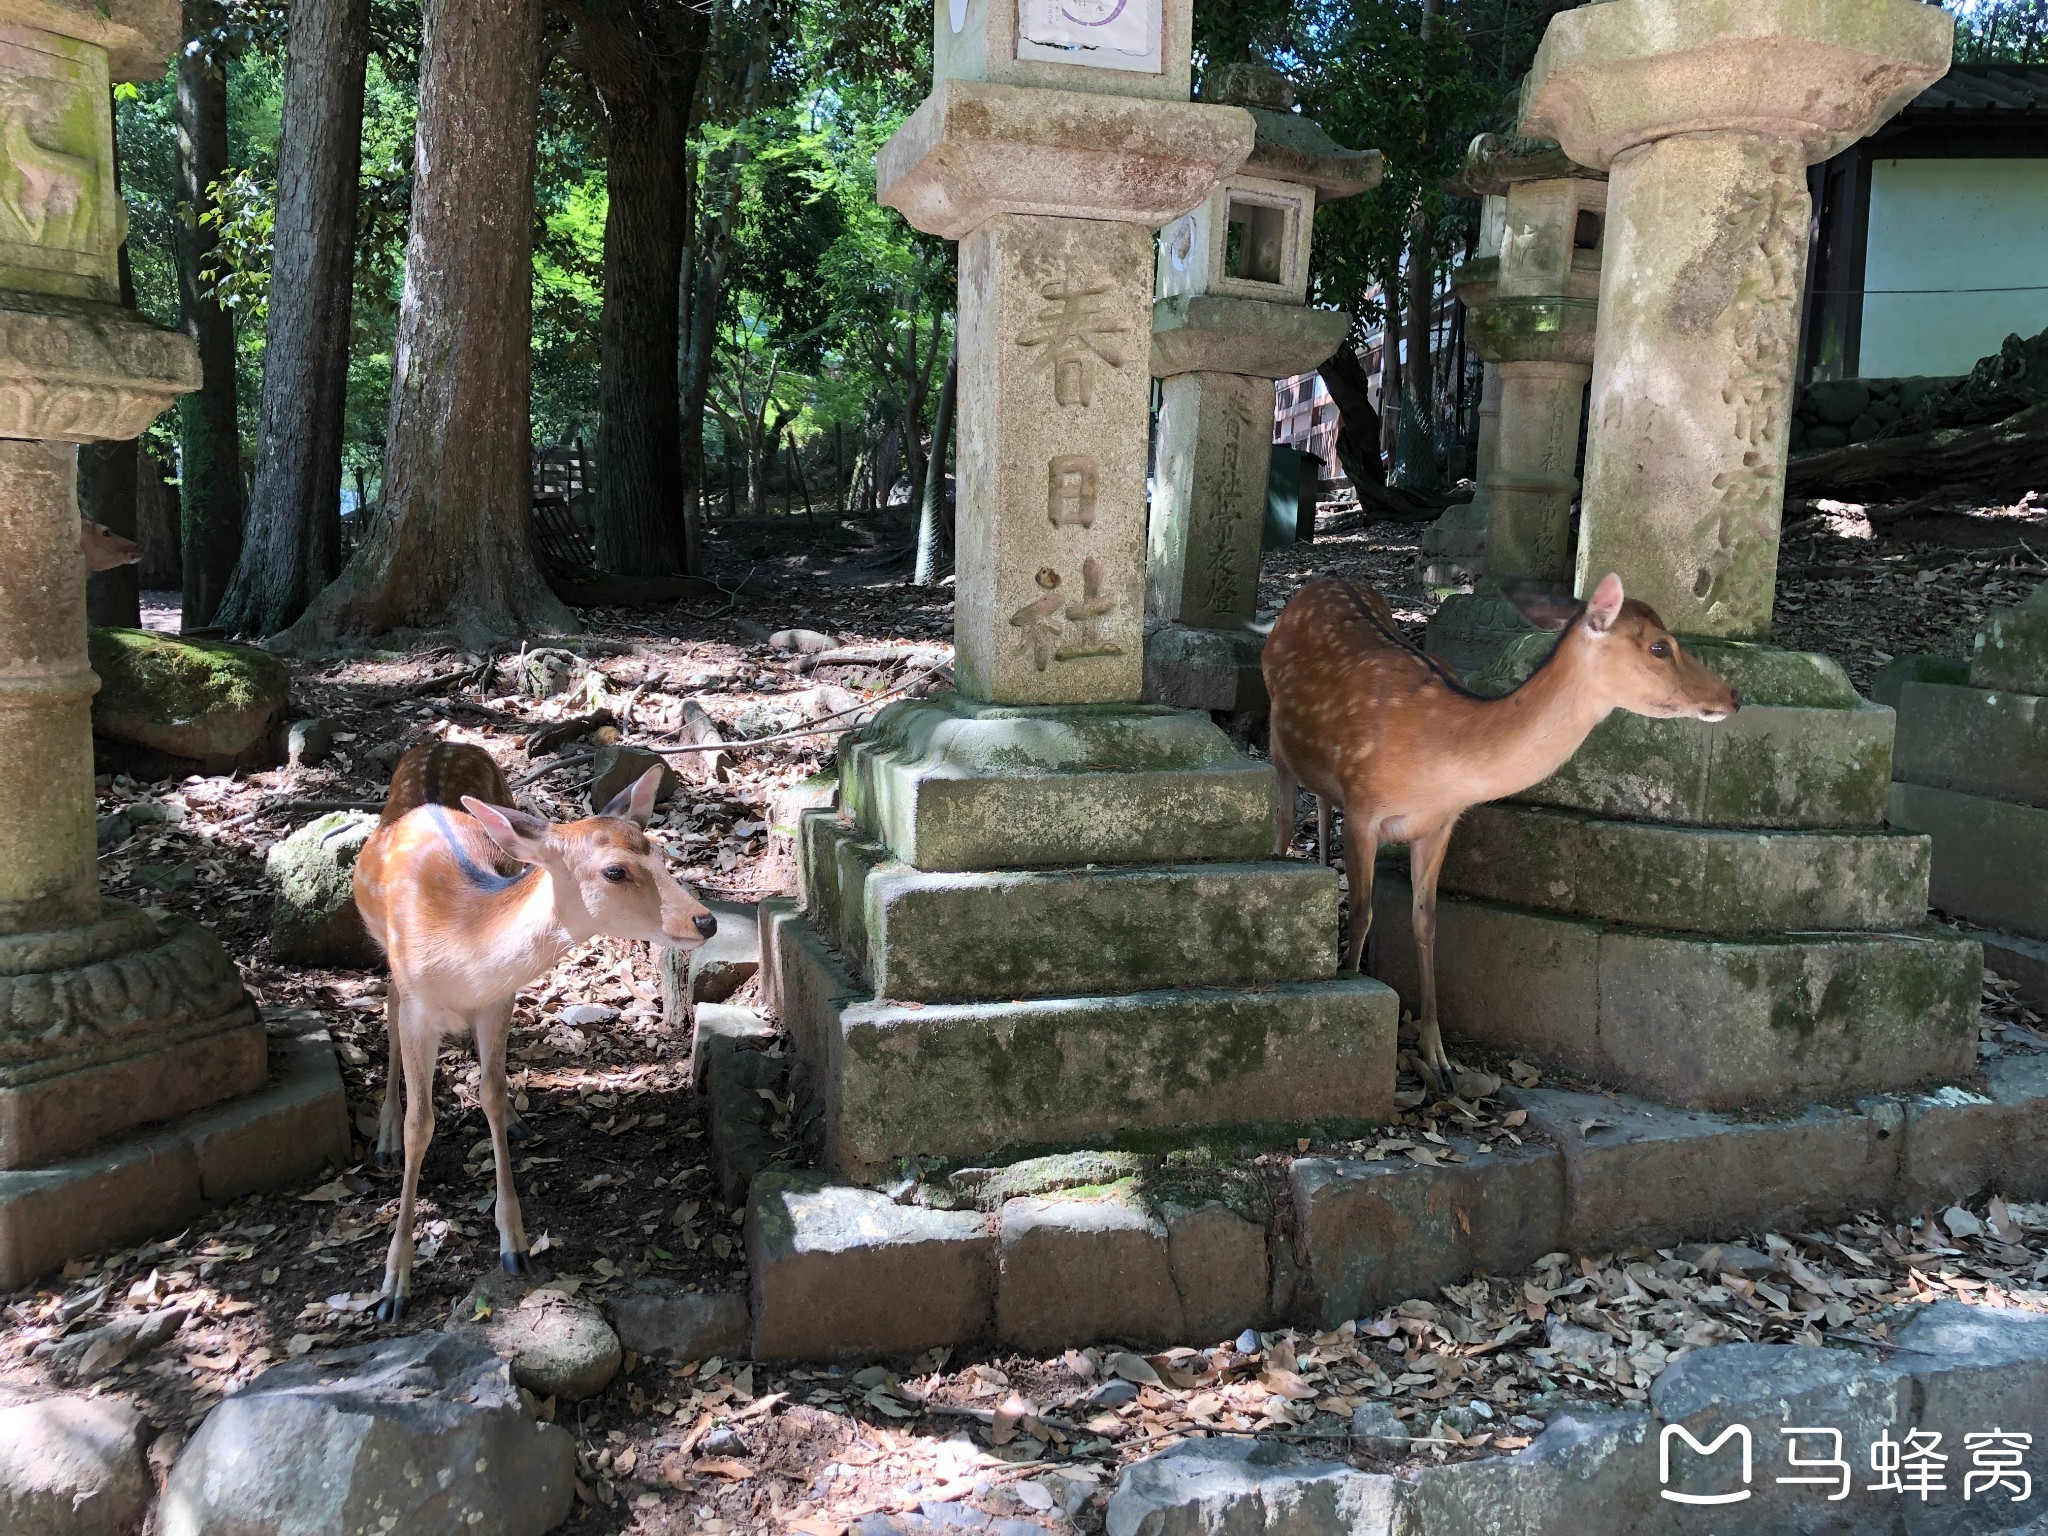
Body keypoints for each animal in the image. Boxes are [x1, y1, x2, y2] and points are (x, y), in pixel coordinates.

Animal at [1269, 577, 1736, 1097]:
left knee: (1319, 805)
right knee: (1284, 821)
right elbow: (1364, 912)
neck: (1434, 761)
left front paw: (1440, 1061)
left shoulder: (1439, 825)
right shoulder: (1363, 808)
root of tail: (1321, 581)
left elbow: (1425, 920)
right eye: (1659, 646)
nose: (1733, 695)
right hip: (1276, 737)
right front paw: (1354, 985)